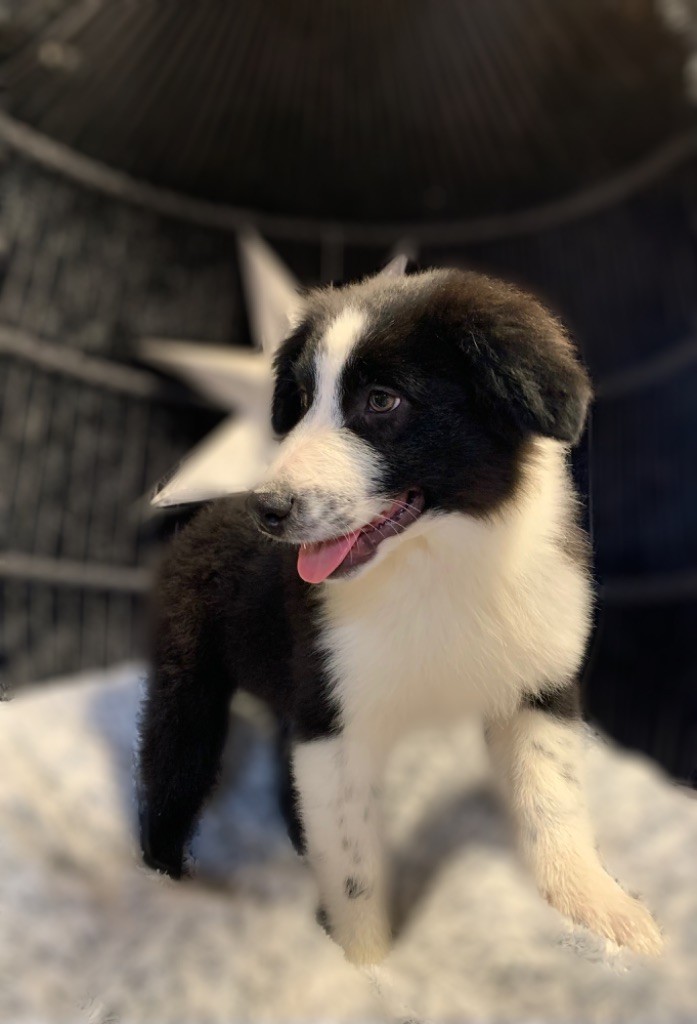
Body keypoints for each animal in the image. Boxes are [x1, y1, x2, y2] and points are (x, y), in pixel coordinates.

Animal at [138, 264, 662, 964]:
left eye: (382, 401)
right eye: (301, 400)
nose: (267, 510)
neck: (437, 561)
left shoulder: (540, 684)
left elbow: (555, 802)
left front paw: (600, 908)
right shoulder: (336, 716)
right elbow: (355, 865)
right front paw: (366, 965)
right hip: (188, 678)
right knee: (172, 771)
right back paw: (163, 876)